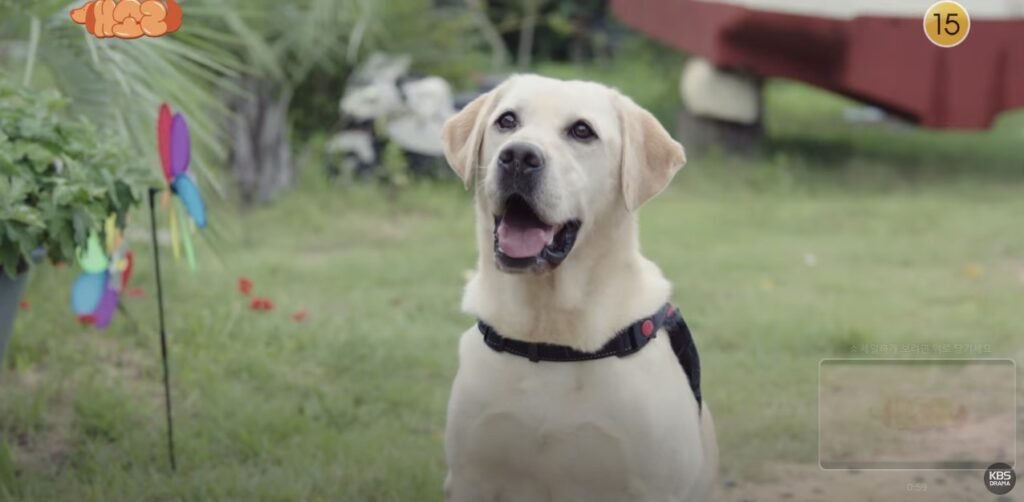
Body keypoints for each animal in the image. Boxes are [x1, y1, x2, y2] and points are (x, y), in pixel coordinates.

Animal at [440, 74, 720, 501]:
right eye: (507, 121)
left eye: (582, 131)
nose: (518, 156)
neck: (550, 334)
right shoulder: (473, 477)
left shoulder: (654, 485)